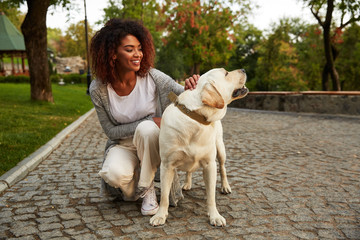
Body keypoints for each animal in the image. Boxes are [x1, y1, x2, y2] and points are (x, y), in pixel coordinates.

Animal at [149, 68, 248, 227]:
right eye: (226, 73)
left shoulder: (210, 164)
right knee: (189, 171)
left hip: (220, 149)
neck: (195, 117)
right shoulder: (167, 165)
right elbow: (164, 195)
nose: (243, 69)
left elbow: (211, 195)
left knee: (223, 168)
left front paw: (215, 216)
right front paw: (160, 215)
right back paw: (187, 183)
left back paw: (225, 186)